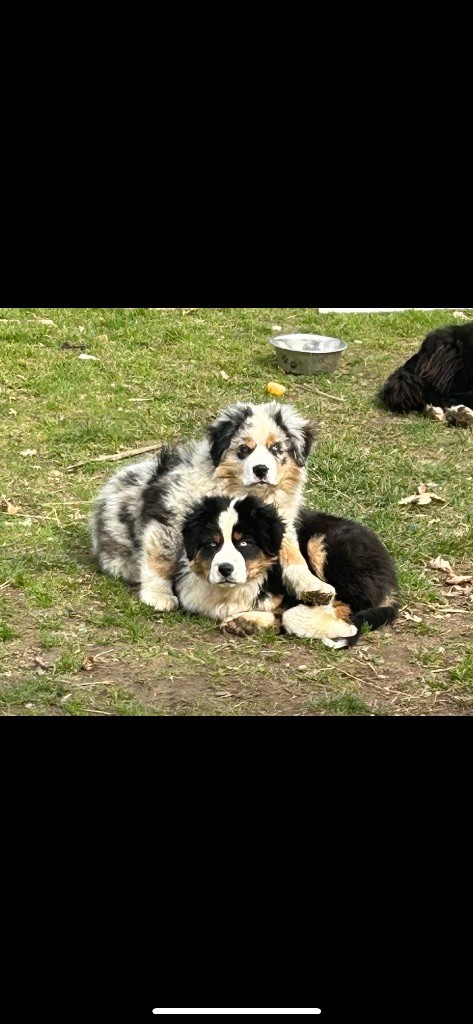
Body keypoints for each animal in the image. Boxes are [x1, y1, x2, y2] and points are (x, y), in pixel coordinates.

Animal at [92, 399, 333, 606]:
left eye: (276, 449)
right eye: (244, 449)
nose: (261, 470)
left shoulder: (277, 522)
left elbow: (293, 554)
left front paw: (312, 586)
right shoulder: (168, 517)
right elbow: (160, 559)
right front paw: (158, 596)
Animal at [177, 495, 399, 647]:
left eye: (245, 543)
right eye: (212, 544)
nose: (225, 569)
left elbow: (288, 613)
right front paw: (245, 623)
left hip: (321, 545)